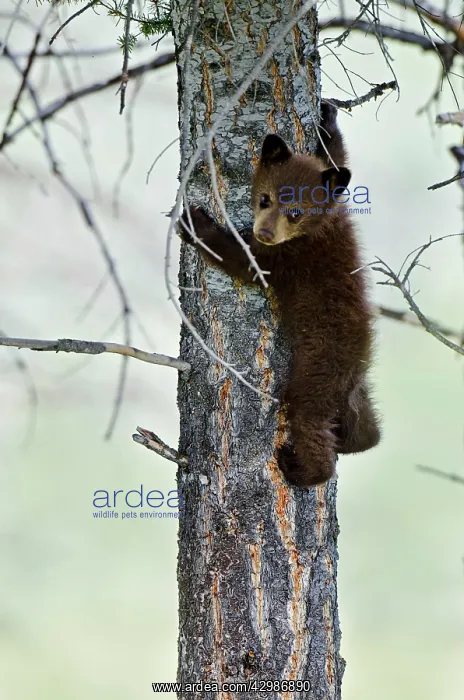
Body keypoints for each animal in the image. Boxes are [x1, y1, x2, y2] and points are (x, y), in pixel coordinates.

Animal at [179, 101, 381, 487]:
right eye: (265, 199)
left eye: (295, 213)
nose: (265, 232)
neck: (320, 227)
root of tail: (358, 362)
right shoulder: (338, 203)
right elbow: (335, 162)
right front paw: (328, 121)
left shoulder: (288, 258)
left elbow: (245, 261)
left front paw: (197, 225)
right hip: (355, 389)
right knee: (364, 425)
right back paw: (359, 440)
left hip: (314, 376)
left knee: (310, 421)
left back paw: (301, 468)